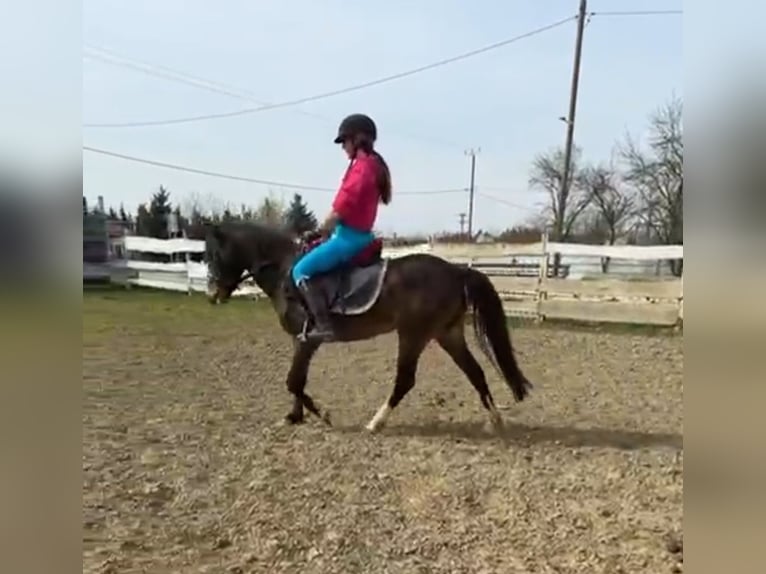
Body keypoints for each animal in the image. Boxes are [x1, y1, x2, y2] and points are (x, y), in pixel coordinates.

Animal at [204, 221, 534, 433]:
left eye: (215, 255)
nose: (213, 295)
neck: (285, 270)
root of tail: (456, 270)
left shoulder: (308, 340)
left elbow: (293, 381)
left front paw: (324, 415)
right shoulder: (300, 340)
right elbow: (297, 381)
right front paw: (293, 416)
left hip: (413, 334)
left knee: (405, 380)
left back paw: (375, 423)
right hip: (447, 333)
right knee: (475, 372)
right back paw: (495, 421)